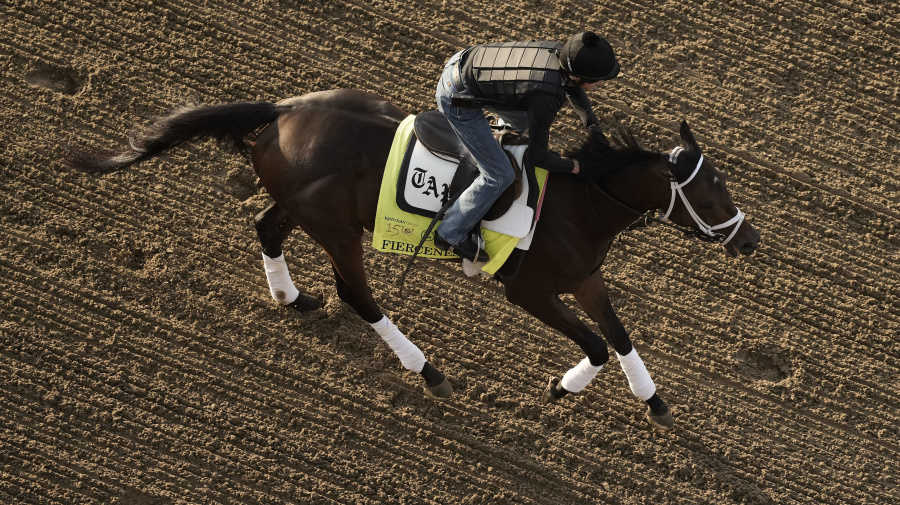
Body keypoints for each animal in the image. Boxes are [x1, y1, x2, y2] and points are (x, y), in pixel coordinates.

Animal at [63, 88, 760, 428]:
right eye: (709, 190)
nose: (750, 239)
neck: (579, 201)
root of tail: (283, 111)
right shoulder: (528, 289)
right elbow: (594, 344)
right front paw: (561, 389)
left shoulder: (585, 279)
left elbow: (619, 336)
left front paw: (654, 403)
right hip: (337, 229)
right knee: (358, 294)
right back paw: (426, 369)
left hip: (310, 207)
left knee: (266, 229)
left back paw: (290, 295)